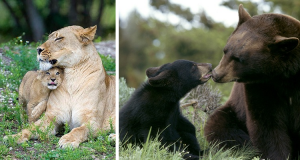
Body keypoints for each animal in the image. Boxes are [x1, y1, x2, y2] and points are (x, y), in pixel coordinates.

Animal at [205, 4, 300, 160]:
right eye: (225, 50)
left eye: (239, 59)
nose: (216, 74)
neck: (284, 76)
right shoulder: (261, 87)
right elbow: (266, 124)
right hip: (233, 113)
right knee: (220, 127)